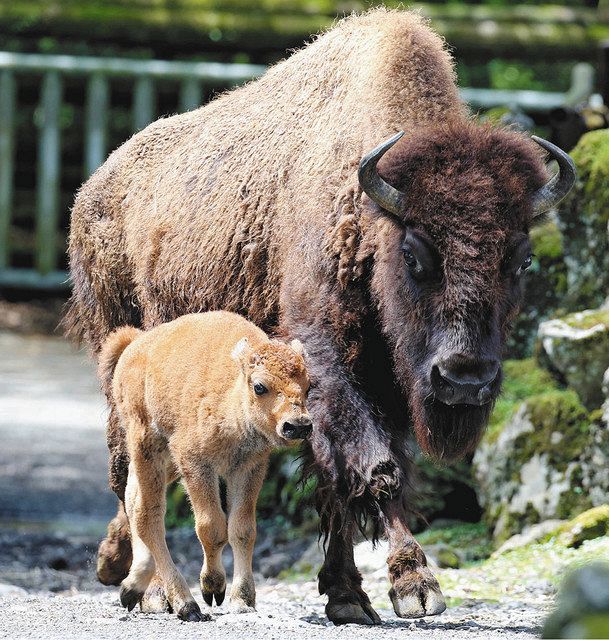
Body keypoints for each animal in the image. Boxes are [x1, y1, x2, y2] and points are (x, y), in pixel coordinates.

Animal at [98, 310, 314, 620]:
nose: (298, 425)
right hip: (147, 443)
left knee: (134, 499)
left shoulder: (249, 468)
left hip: (165, 462)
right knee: (149, 515)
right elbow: (211, 527)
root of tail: (135, 345)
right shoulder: (195, 463)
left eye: (309, 386)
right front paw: (212, 587)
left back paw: (132, 588)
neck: (233, 394)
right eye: (260, 386)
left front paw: (242, 599)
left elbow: (242, 529)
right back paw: (186, 604)